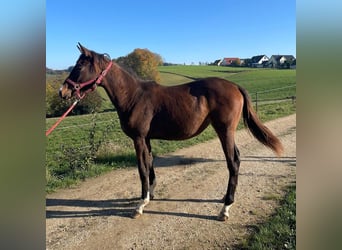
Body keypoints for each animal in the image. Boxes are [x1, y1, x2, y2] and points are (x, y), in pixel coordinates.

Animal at [59, 44, 284, 222]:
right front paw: (150, 195)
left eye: (79, 66)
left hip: (225, 131)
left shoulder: (138, 139)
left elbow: (141, 169)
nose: (63, 92)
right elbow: (150, 165)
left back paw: (225, 208)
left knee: (233, 162)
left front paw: (140, 205)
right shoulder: (146, 139)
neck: (134, 96)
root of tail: (235, 86)